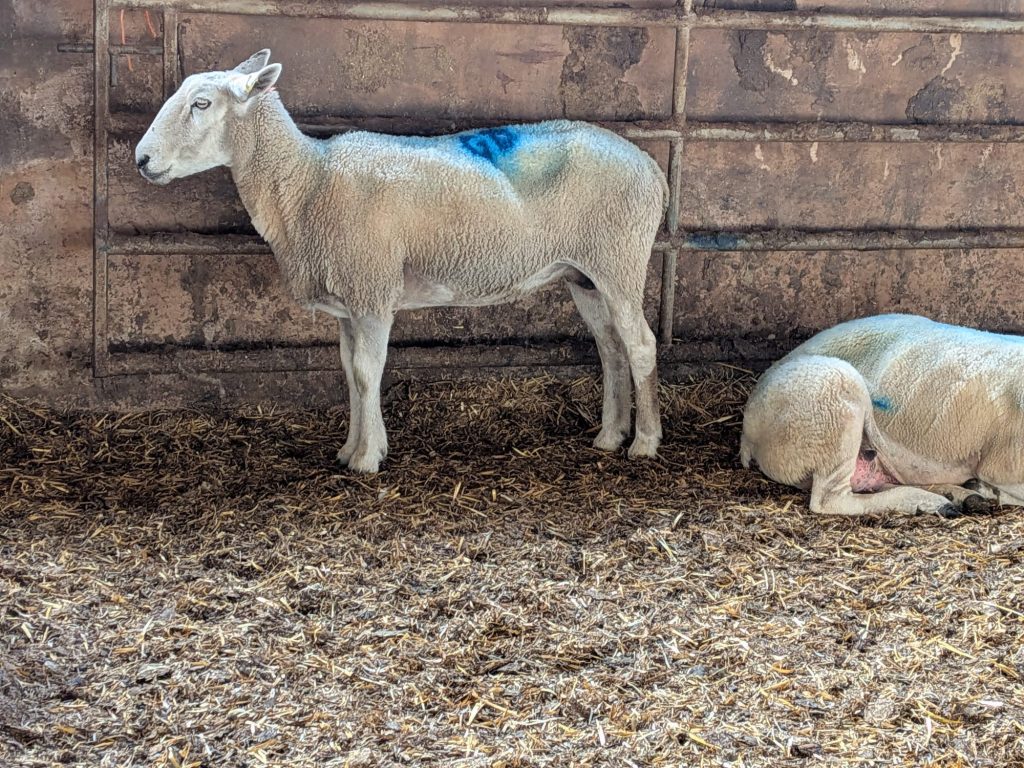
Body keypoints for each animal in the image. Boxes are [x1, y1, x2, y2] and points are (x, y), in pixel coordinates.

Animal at [135, 50, 666, 473]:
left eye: (202, 103)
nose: (141, 159)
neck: (308, 182)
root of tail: (651, 168)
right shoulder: (349, 301)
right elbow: (349, 373)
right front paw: (350, 449)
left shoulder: (372, 289)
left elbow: (368, 372)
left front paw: (368, 459)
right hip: (585, 273)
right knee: (611, 347)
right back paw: (609, 436)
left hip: (619, 259)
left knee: (640, 344)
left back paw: (645, 442)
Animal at [740, 313, 1024, 517]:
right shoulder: (1001, 464)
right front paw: (988, 490)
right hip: (830, 402)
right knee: (829, 500)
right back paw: (931, 502)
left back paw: (958, 497)